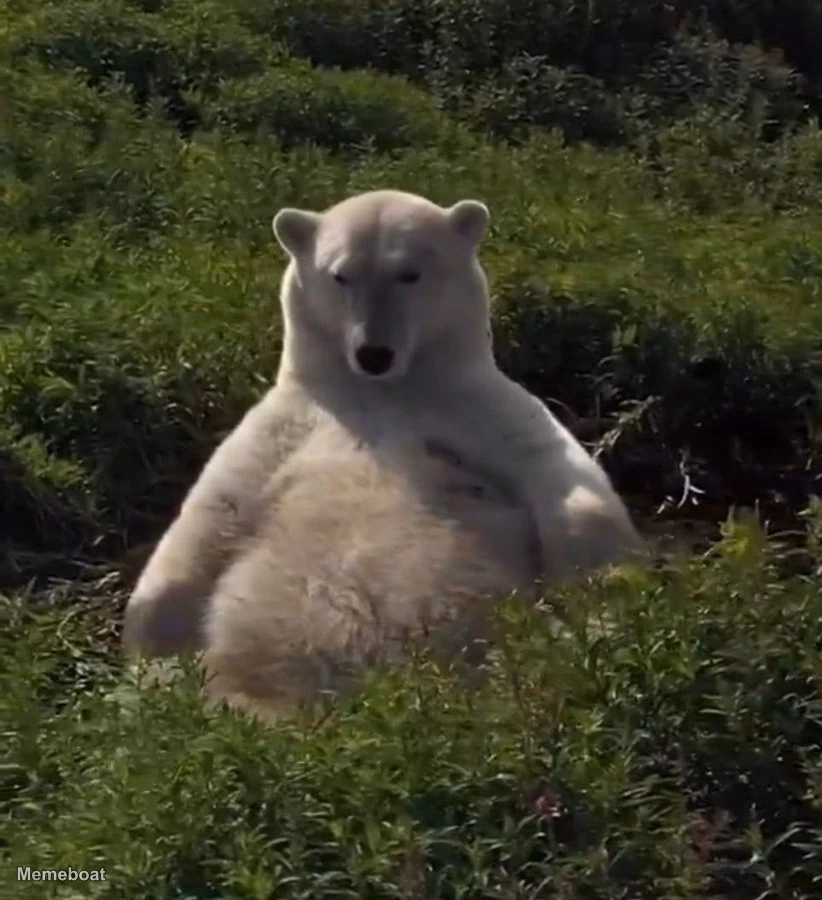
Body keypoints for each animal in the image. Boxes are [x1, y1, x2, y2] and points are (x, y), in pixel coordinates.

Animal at [123, 189, 643, 722]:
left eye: (410, 273)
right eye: (340, 274)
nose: (374, 353)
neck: (386, 391)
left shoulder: (474, 409)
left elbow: (565, 481)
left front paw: (600, 609)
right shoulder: (291, 423)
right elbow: (217, 505)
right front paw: (151, 644)